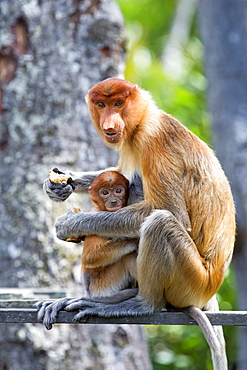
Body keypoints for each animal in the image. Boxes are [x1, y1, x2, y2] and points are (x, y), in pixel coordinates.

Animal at [37, 76, 235, 368]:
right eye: (102, 104)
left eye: (119, 103)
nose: (110, 124)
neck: (140, 122)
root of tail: (211, 289)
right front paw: (60, 184)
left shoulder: (153, 139)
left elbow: (171, 210)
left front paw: (71, 224)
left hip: (193, 282)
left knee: (160, 222)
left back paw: (140, 304)